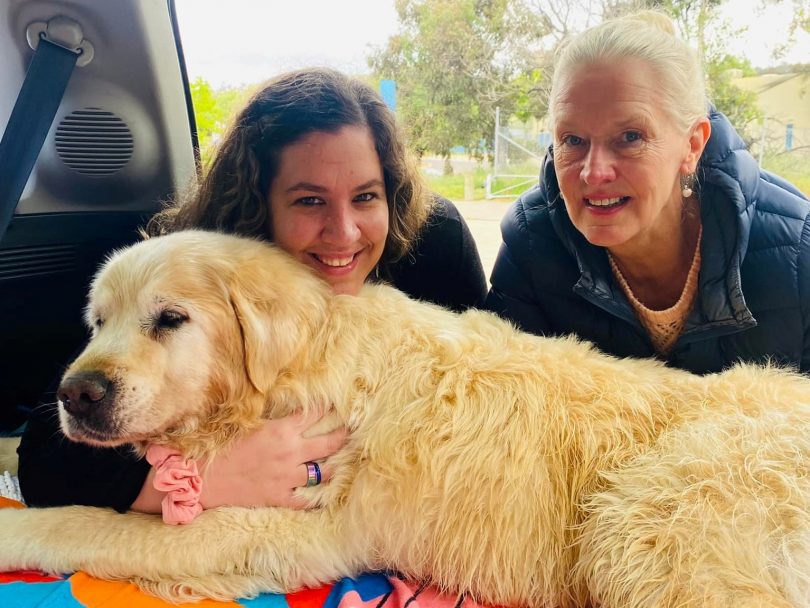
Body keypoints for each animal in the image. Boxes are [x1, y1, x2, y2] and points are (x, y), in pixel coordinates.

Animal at [1, 230, 808, 604]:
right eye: (96, 322)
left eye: (170, 319)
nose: (76, 394)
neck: (305, 360)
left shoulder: (274, 526)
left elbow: (84, 526)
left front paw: (17, 531)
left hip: (647, 520)